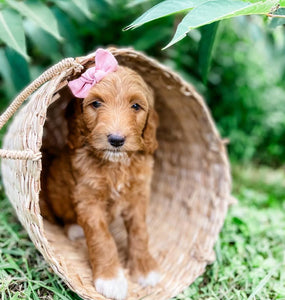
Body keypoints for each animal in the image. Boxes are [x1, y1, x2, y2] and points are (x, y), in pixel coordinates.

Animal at [44, 64, 160, 298]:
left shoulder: (138, 195)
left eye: (136, 106)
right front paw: (111, 279)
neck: (115, 165)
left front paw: (145, 267)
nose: (116, 140)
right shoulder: (88, 200)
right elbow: (102, 238)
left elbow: (140, 231)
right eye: (96, 103)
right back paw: (74, 229)